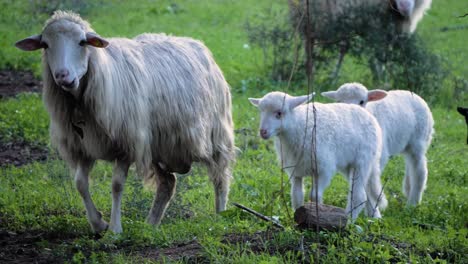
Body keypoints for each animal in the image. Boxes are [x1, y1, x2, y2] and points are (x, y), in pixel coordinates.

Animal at [15, 10, 236, 233]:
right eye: (45, 45)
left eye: (82, 42)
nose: (62, 76)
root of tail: (194, 43)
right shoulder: (83, 147)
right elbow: (80, 183)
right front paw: (98, 224)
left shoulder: (126, 144)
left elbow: (117, 185)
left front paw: (115, 229)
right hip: (156, 145)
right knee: (168, 183)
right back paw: (150, 225)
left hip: (216, 134)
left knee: (220, 176)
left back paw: (220, 213)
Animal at [249, 92, 388, 220]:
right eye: (261, 112)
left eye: (279, 113)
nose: (263, 132)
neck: (298, 126)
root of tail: (369, 116)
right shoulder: (296, 170)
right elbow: (296, 196)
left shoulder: (324, 169)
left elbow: (314, 195)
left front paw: (318, 215)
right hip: (349, 165)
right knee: (365, 190)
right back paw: (375, 217)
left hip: (364, 159)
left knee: (359, 195)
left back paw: (348, 220)